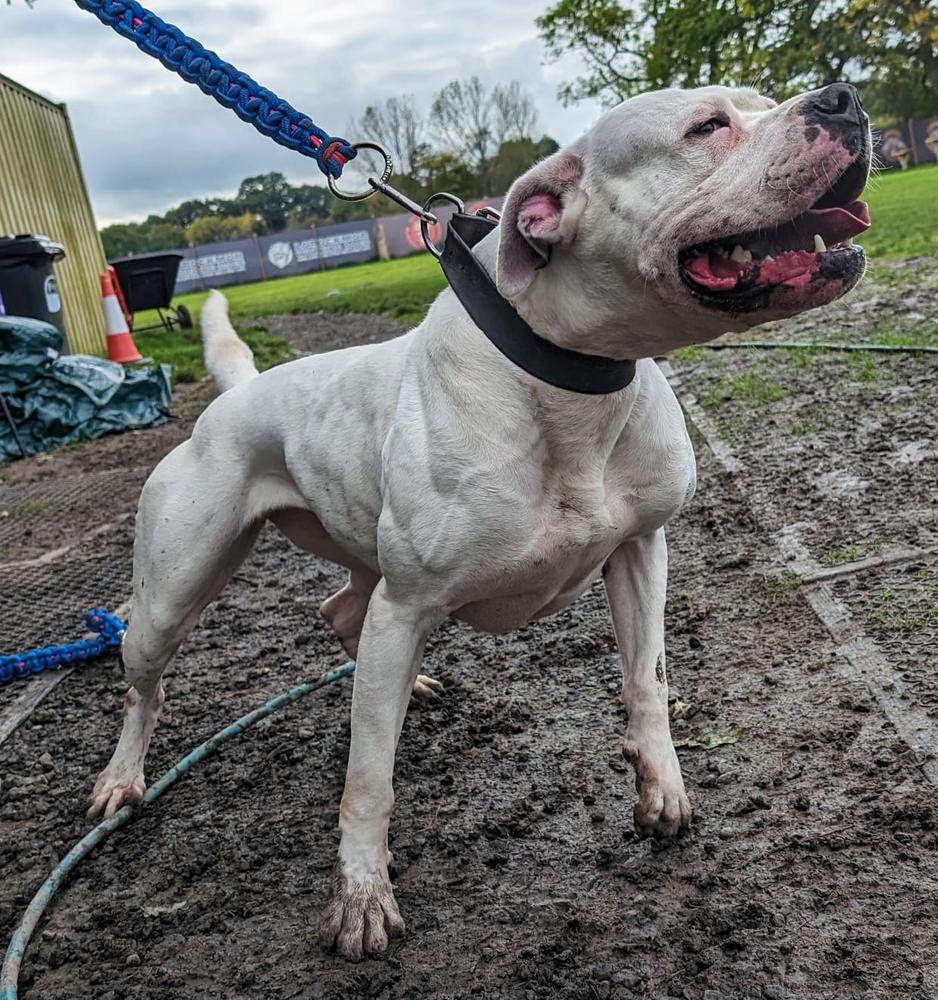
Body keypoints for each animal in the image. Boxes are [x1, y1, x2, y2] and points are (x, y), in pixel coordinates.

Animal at [88, 84, 872, 960]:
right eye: (707, 127)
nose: (842, 99)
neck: (569, 383)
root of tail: (235, 396)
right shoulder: (410, 603)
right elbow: (369, 775)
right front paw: (361, 896)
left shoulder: (640, 549)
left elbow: (648, 682)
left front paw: (660, 790)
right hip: (171, 596)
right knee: (147, 689)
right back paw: (122, 778)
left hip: (361, 560)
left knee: (342, 611)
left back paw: (407, 680)